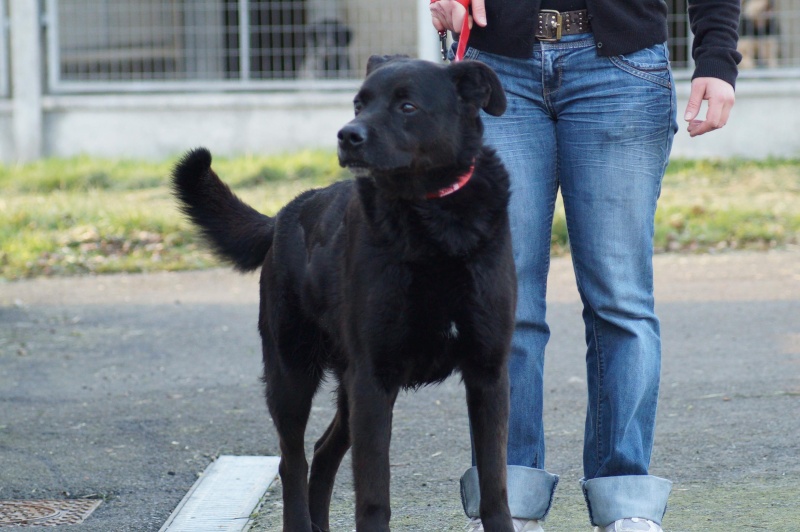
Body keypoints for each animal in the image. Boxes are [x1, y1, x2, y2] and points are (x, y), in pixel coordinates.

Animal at [172, 56, 516, 528]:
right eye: (359, 103)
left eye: (407, 106)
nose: (347, 135)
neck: (434, 224)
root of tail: (285, 212)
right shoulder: (373, 377)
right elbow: (373, 497)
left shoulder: (487, 373)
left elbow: (495, 486)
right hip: (292, 373)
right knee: (292, 461)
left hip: (343, 386)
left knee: (322, 451)